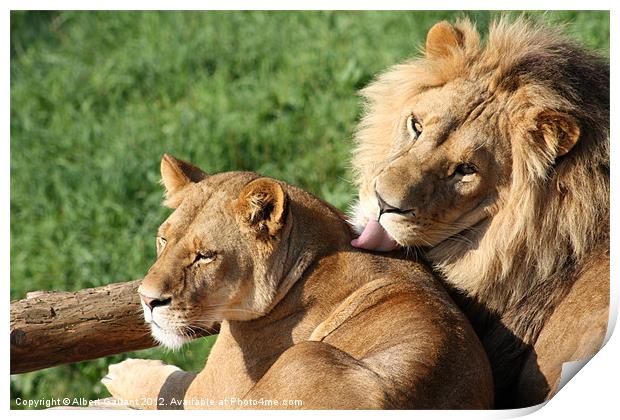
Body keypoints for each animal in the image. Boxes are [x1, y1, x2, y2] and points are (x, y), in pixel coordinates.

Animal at [99, 156, 492, 408]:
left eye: (205, 256)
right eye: (163, 239)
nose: (147, 299)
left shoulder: (214, 391)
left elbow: (170, 387)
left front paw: (123, 373)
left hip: (304, 355)